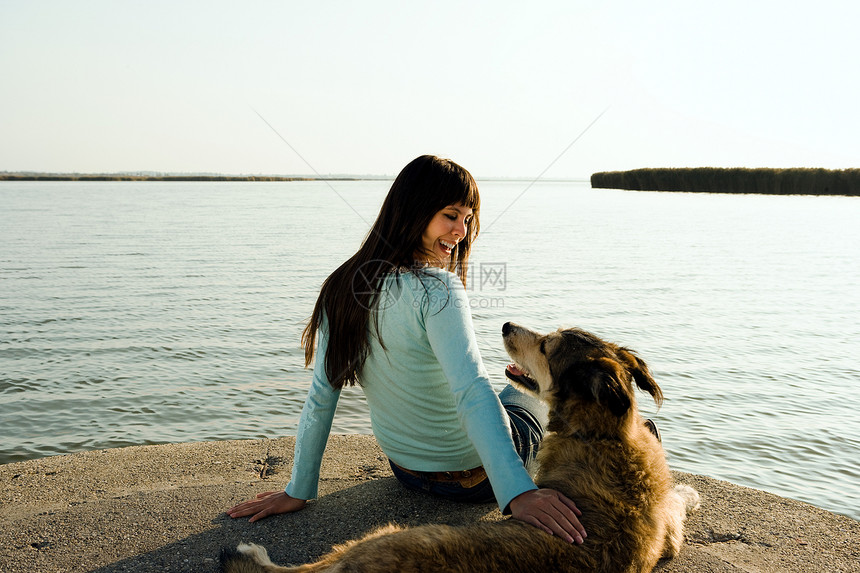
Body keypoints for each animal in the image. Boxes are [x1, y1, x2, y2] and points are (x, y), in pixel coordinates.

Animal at [222, 324, 700, 568]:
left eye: (547, 345)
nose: (506, 325)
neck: (604, 434)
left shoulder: (668, 534)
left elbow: (675, 500)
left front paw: (686, 490)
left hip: (383, 535)